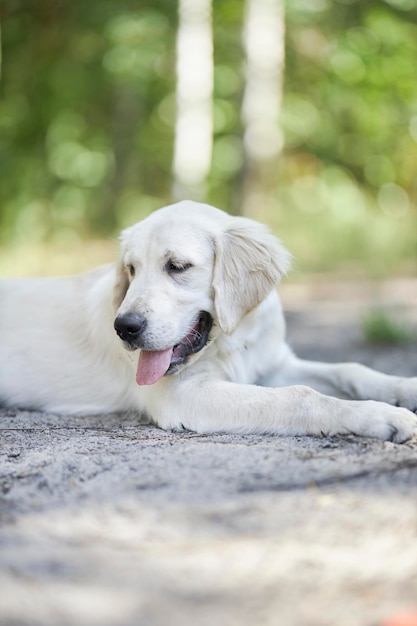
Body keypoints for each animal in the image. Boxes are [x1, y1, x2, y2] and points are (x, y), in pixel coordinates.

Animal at [0, 200, 416, 438]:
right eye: (131, 269)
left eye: (177, 266)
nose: (124, 328)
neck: (231, 340)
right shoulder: (181, 395)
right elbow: (300, 396)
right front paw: (380, 416)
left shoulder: (272, 364)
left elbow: (349, 369)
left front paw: (403, 388)